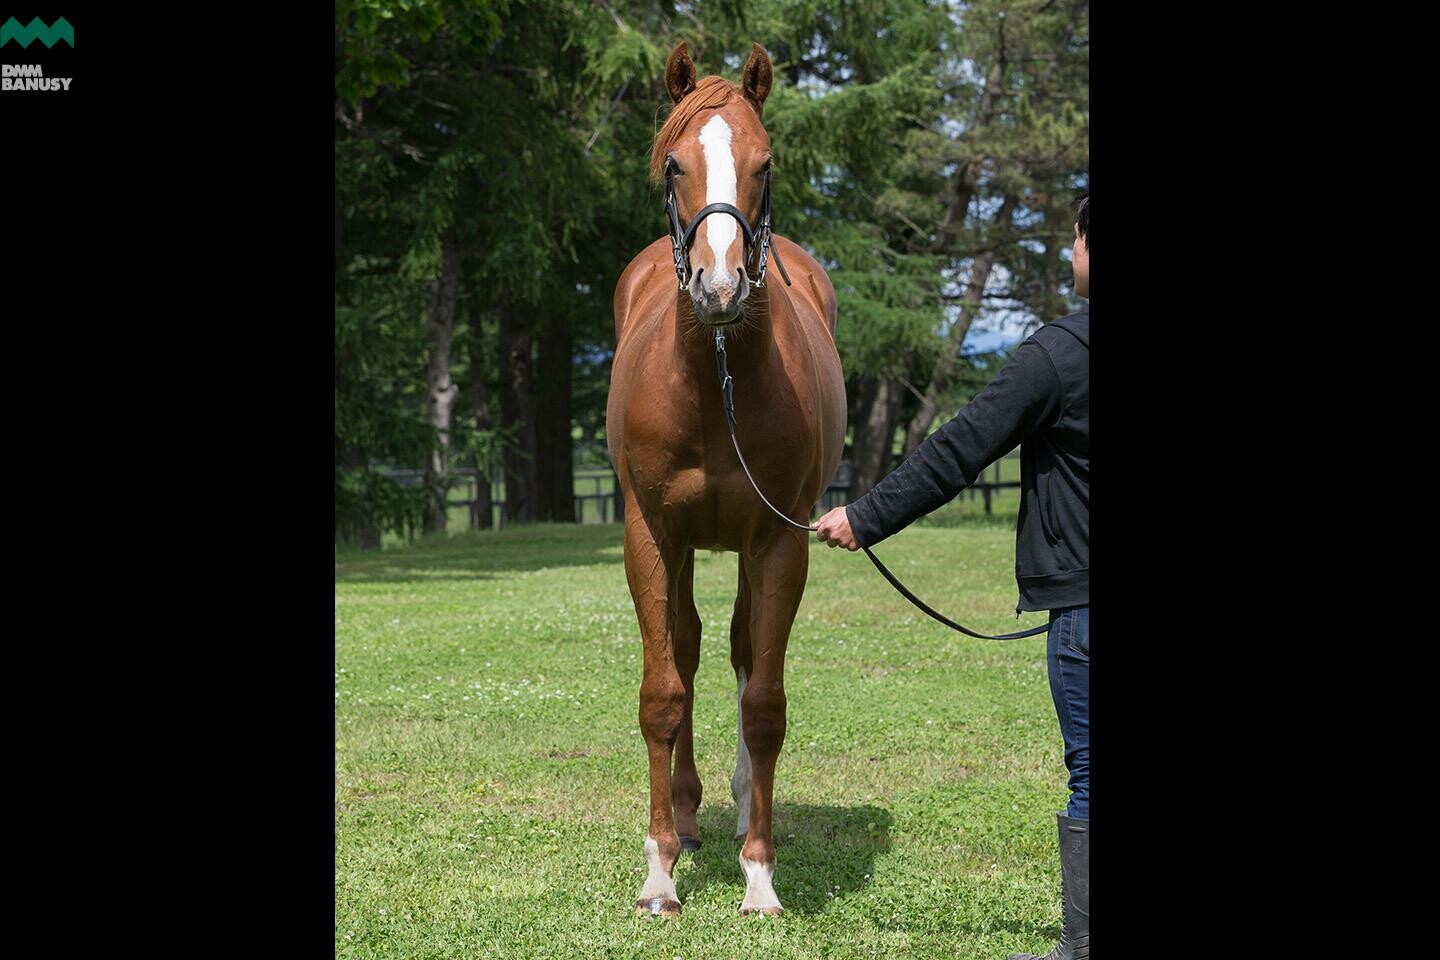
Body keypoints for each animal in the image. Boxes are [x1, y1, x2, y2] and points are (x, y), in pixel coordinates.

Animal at [606, 41, 847, 917]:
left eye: (763, 163)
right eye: (675, 163)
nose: (720, 286)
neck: (713, 386)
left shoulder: (779, 538)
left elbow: (765, 702)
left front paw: (760, 874)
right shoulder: (651, 535)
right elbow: (663, 693)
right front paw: (659, 873)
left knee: (742, 652)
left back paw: (740, 806)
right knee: (687, 648)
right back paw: (686, 816)